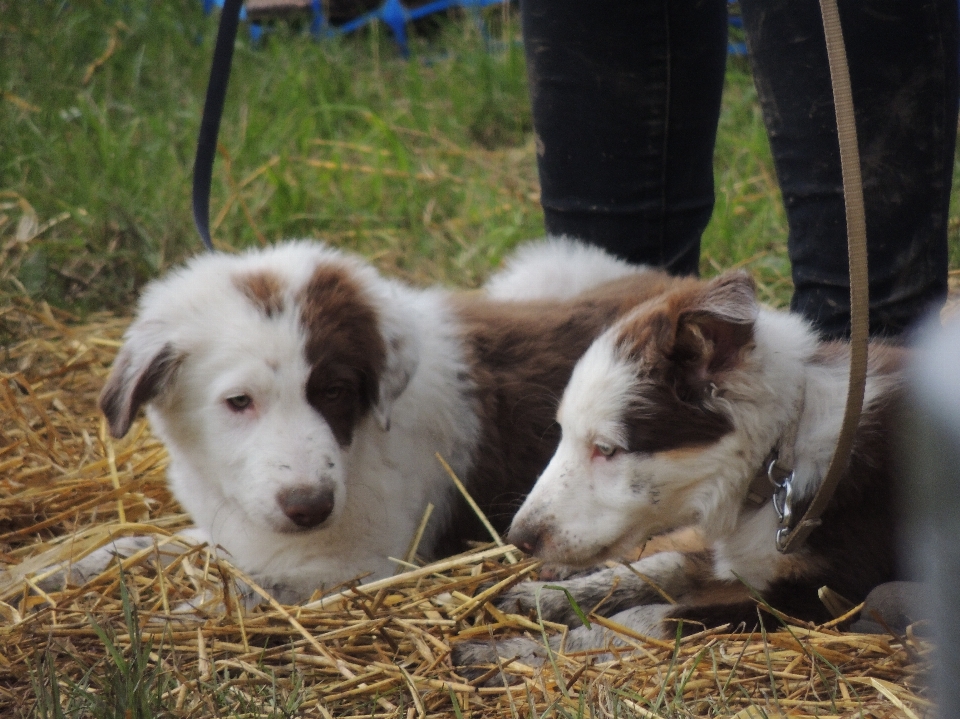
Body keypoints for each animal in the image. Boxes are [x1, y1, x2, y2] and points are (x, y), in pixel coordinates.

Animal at [48, 239, 680, 604]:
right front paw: (67, 569)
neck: (359, 448)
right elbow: (158, 543)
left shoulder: (367, 564)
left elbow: (256, 589)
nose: (311, 507)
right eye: (238, 401)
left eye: (333, 391)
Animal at [454, 270, 904, 676]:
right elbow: (665, 566)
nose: (519, 539)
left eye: (606, 449)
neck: (782, 452)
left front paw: (510, 651)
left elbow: (651, 619)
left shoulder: (822, 599)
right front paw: (545, 597)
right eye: (563, 431)